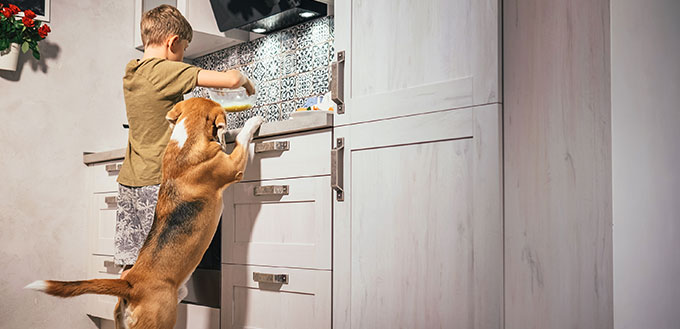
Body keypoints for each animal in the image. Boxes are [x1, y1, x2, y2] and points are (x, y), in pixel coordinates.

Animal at [23, 97, 264, 328]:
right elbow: (242, 139)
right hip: (160, 321)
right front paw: (253, 121)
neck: (186, 140)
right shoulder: (233, 167)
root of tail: (131, 285)